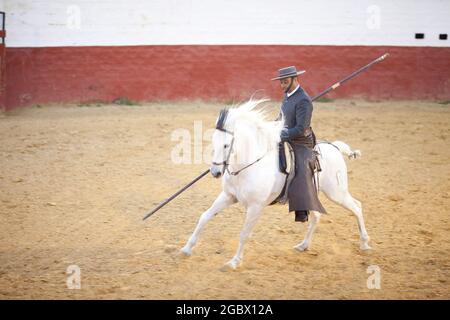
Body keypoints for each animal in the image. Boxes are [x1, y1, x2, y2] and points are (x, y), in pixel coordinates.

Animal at [179, 100, 370, 270]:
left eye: (226, 145)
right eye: (213, 142)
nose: (215, 172)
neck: (247, 166)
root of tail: (335, 147)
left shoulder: (255, 207)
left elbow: (244, 234)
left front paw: (233, 262)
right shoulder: (228, 196)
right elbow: (204, 217)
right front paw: (186, 249)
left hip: (336, 192)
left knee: (357, 207)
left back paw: (365, 244)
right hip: (311, 196)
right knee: (317, 216)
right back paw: (303, 245)